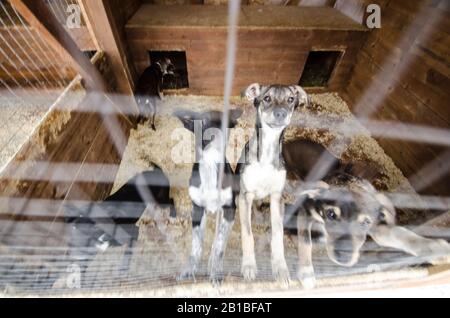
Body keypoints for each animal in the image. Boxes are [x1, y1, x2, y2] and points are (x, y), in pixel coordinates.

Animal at [174, 109, 243, 284]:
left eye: (225, 122)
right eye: (203, 121)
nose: (216, 134)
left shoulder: (229, 209)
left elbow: (219, 244)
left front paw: (215, 272)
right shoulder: (197, 209)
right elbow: (196, 245)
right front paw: (189, 270)